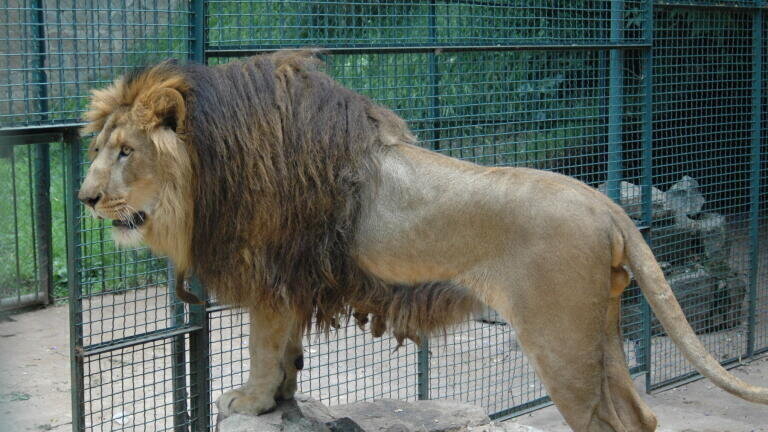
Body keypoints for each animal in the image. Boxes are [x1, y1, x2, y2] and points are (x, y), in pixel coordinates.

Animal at [78, 51, 768, 432]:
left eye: (126, 152)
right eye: (99, 149)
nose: (84, 198)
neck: (209, 169)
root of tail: (608, 206)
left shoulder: (274, 276)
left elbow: (262, 347)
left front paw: (249, 401)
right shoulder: (298, 279)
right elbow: (288, 354)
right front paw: (281, 401)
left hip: (559, 336)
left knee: (609, 421)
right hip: (598, 329)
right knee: (640, 415)